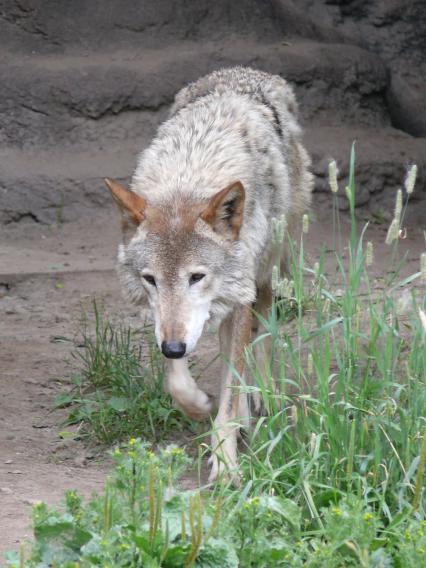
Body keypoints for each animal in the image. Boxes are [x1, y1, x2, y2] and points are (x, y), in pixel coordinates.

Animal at [105, 67, 312, 484]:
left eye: (197, 277)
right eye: (151, 280)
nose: (173, 347)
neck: (190, 173)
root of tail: (247, 70)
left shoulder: (239, 296)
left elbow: (231, 389)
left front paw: (226, 463)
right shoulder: (167, 322)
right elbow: (178, 380)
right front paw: (199, 406)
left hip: (265, 271)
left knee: (262, 331)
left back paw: (264, 395)